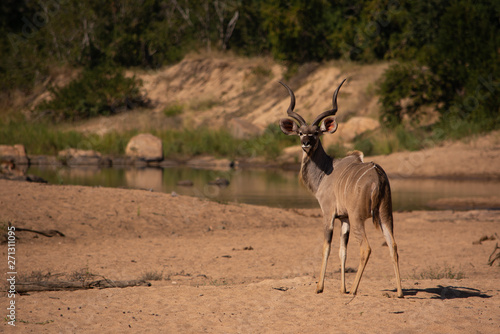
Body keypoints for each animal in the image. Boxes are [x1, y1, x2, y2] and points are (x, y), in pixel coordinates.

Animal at [280, 79, 404, 298]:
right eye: (301, 133)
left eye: (315, 133)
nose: (305, 143)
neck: (326, 172)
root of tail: (378, 177)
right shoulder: (344, 219)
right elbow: (342, 251)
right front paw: (342, 289)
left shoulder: (329, 214)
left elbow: (327, 248)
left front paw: (320, 287)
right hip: (385, 215)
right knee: (393, 245)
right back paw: (399, 292)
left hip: (359, 218)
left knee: (366, 248)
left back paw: (355, 290)